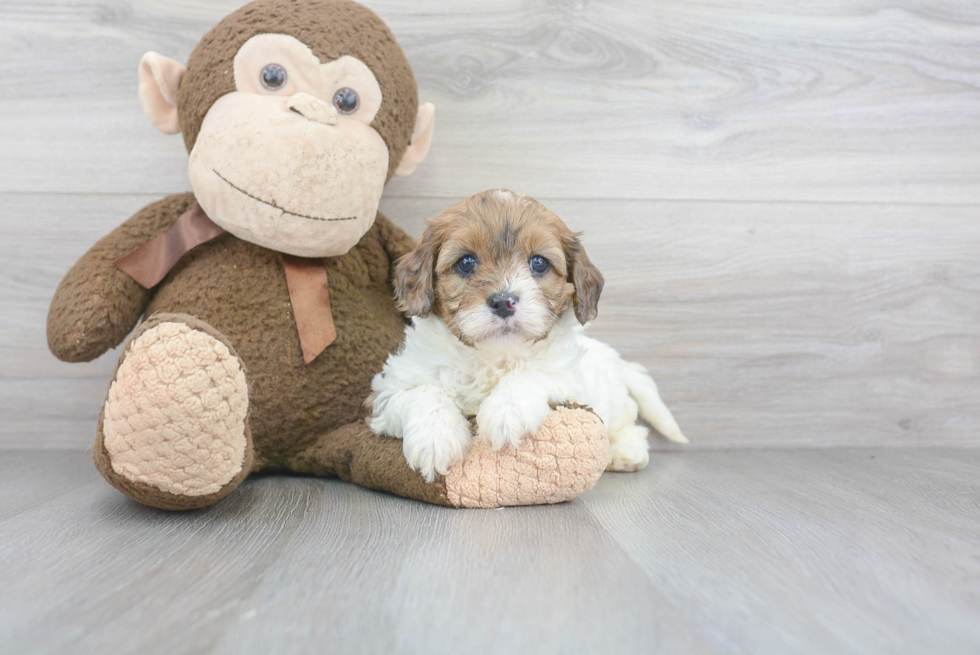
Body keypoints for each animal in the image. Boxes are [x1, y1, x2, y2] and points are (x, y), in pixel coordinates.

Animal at [372, 188, 684, 482]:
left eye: (539, 263)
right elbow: (424, 392)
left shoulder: (568, 380)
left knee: (628, 425)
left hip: (613, 399)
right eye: (466, 262)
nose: (503, 302)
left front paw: (506, 412)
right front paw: (435, 438)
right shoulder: (388, 392)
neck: (494, 356)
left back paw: (624, 452)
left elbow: (531, 374)